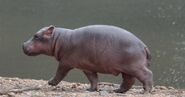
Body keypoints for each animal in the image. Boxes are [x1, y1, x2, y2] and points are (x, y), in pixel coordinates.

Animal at [22, 25, 153, 93]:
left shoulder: (65, 63)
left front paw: (50, 82)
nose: (23, 45)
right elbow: (93, 79)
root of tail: (144, 45)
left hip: (134, 66)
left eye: (36, 36)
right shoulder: (87, 67)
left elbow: (59, 73)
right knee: (128, 81)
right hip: (127, 69)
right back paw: (117, 91)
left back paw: (145, 91)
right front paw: (90, 90)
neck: (58, 39)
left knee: (147, 74)